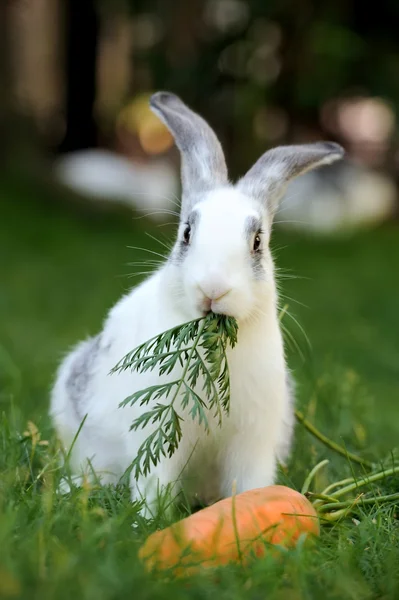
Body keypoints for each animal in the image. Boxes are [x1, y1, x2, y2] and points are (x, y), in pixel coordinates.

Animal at [49, 91, 344, 516]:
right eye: (187, 233)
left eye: (258, 242)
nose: (213, 288)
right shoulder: (158, 436)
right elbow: (154, 481)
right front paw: (147, 521)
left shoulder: (253, 440)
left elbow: (251, 483)